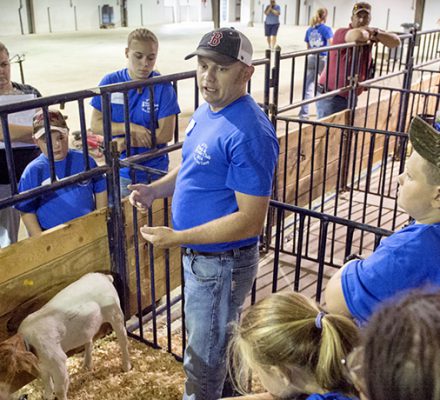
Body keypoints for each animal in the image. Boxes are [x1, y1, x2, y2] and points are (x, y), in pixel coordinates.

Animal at [0, 272, 131, 400]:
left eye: (7, 369)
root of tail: (105, 277)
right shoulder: (42, 367)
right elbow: (47, 384)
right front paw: (47, 396)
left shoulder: (57, 361)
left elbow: (59, 389)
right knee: (89, 340)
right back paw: (87, 365)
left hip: (115, 313)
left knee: (123, 338)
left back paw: (126, 367)